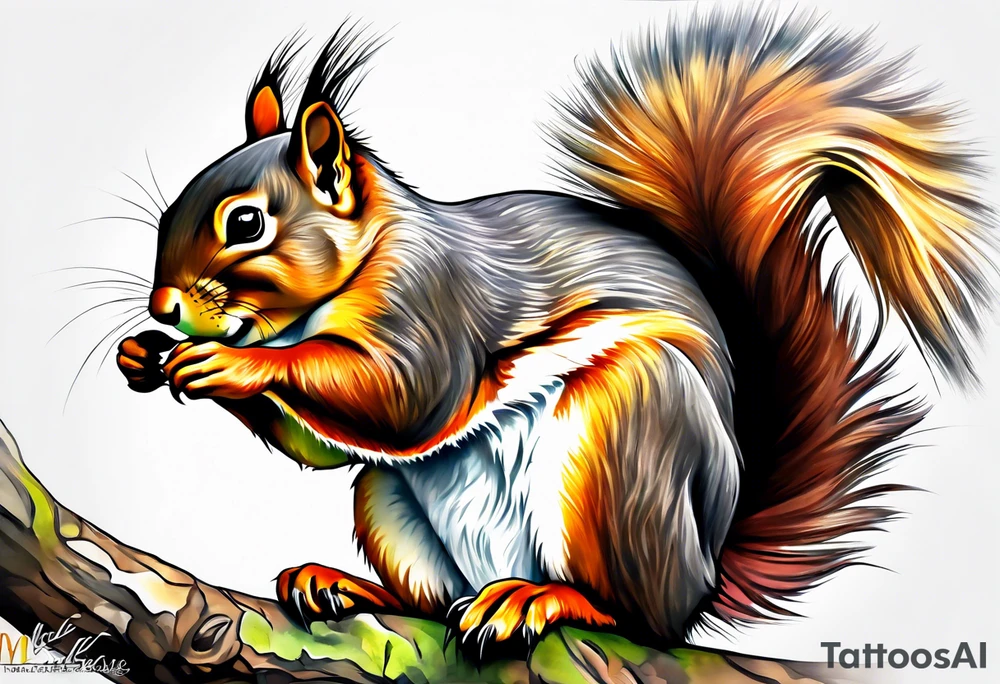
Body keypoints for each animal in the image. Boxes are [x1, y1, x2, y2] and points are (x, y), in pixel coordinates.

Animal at [116, 9, 995, 651]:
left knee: (638, 616)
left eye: (247, 223)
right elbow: (326, 448)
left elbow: (403, 400)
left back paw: (543, 600)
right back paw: (347, 584)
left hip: (625, 440)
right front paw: (143, 357)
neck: (354, 270)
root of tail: (703, 573)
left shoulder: (433, 306)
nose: (163, 309)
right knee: (426, 598)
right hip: (391, 504)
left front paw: (232, 364)